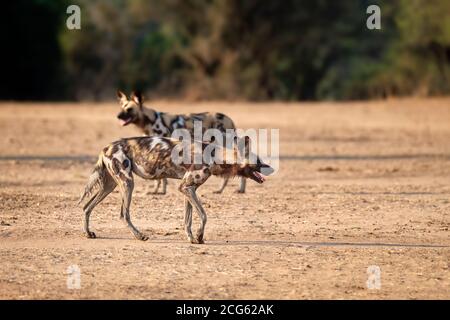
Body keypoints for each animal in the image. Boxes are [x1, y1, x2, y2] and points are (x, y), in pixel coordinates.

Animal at [78, 135, 272, 242]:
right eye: (258, 161)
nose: (270, 168)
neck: (215, 155)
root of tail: (106, 148)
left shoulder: (187, 189)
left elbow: (188, 220)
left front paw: (192, 239)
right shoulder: (186, 187)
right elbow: (204, 215)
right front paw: (199, 236)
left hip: (109, 186)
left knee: (87, 207)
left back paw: (88, 233)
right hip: (127, 183)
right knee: (123, 214)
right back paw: (140, 236)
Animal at [116, 90, 246, 195]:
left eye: (129, 109)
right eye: (121, 107)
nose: (118, 116)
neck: (149, 122)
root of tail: (228, 119)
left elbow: (160, 178)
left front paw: (159, 191)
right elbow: (159, 177)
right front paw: (158, 190)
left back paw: (229, 189)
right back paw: (231, 189)